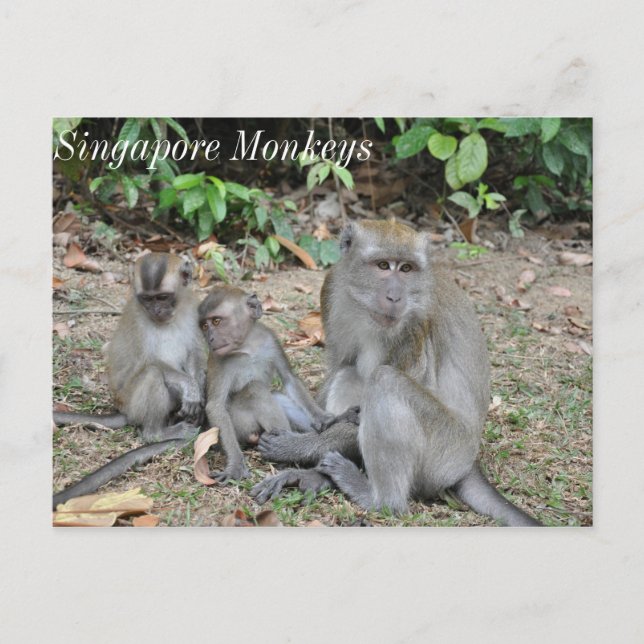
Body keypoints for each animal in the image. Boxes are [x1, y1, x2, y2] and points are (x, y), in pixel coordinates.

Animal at [53, 252, 207, 508]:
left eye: (163, 297)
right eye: (147, 299)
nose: (156, 310)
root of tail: (123, 409)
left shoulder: (194, 309)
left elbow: (195, 353)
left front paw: (199, 392)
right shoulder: (139, 321)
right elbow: (149, 363)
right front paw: (191, 388)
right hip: (134, 402)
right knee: (153, 374)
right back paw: (156, 433)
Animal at [198, 285, 356, 484]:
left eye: (217, 321)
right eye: (205, 326)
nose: (210, 338)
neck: (248, 346)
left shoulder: (270, 340)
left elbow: (289, 378)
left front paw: (325, 418)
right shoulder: (220, 359)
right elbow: (216, 406)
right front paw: (235, 465)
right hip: (240, 426)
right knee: (255, 389)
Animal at [251, 219, 541, 527]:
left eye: (406, 269)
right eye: (383, 265)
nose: (395, 296)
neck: (363, 302)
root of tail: (469, 461)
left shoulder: (415, 324)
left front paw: (297, 446)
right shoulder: (330, 289)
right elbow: (339, 365)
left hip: (445, 453)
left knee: (385, 381)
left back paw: (378, 499)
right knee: (350, 373)